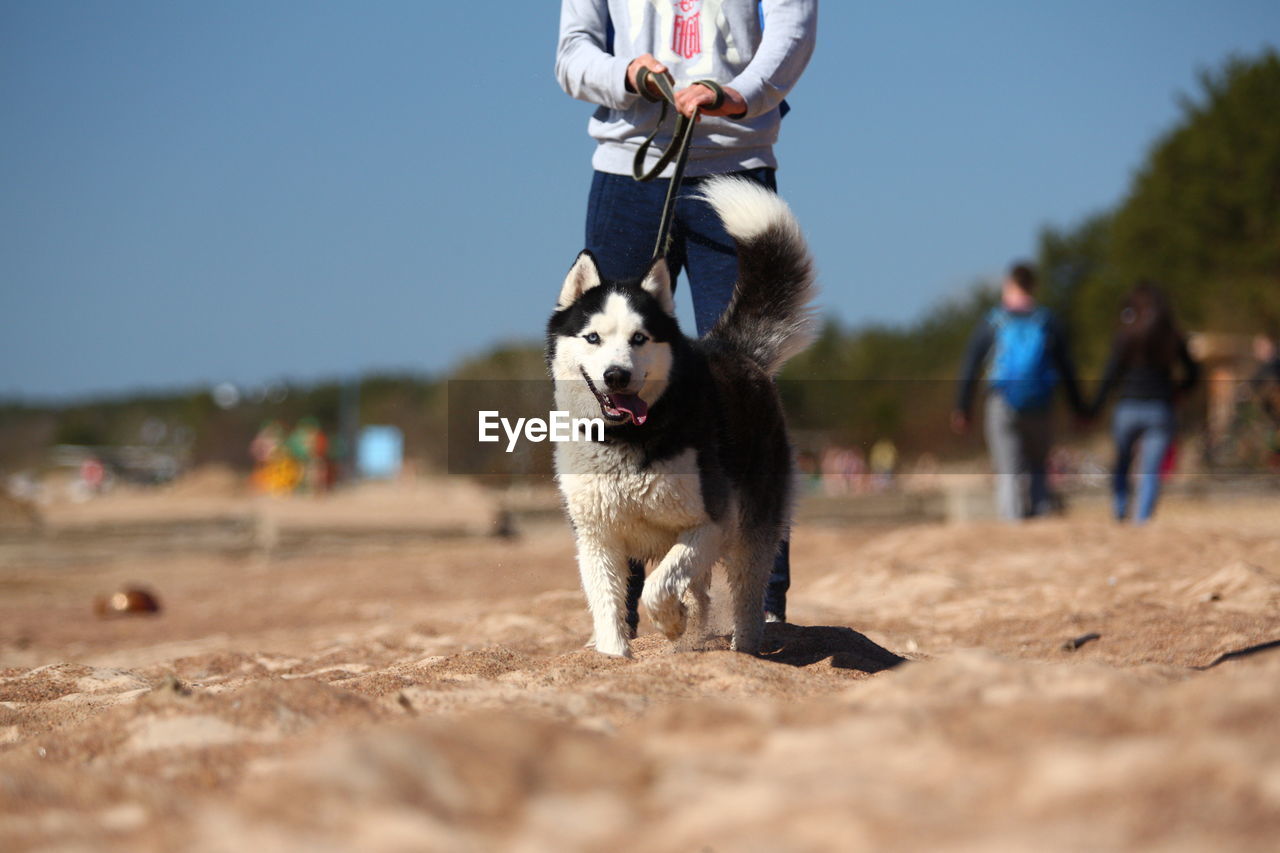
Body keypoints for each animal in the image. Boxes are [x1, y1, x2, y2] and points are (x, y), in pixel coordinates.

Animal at [545, 174, 814, 655]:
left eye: (639, 338)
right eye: (593, 337)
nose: (616, 375)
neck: (625, 439)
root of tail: (733, 349)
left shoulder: (710, 524)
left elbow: (659, 583)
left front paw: (670, 623)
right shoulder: (596, 538)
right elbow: (611, 608)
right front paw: (615, 654)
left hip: (754, 526)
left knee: (746, 593)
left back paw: (743, 647)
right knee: (700, 589)